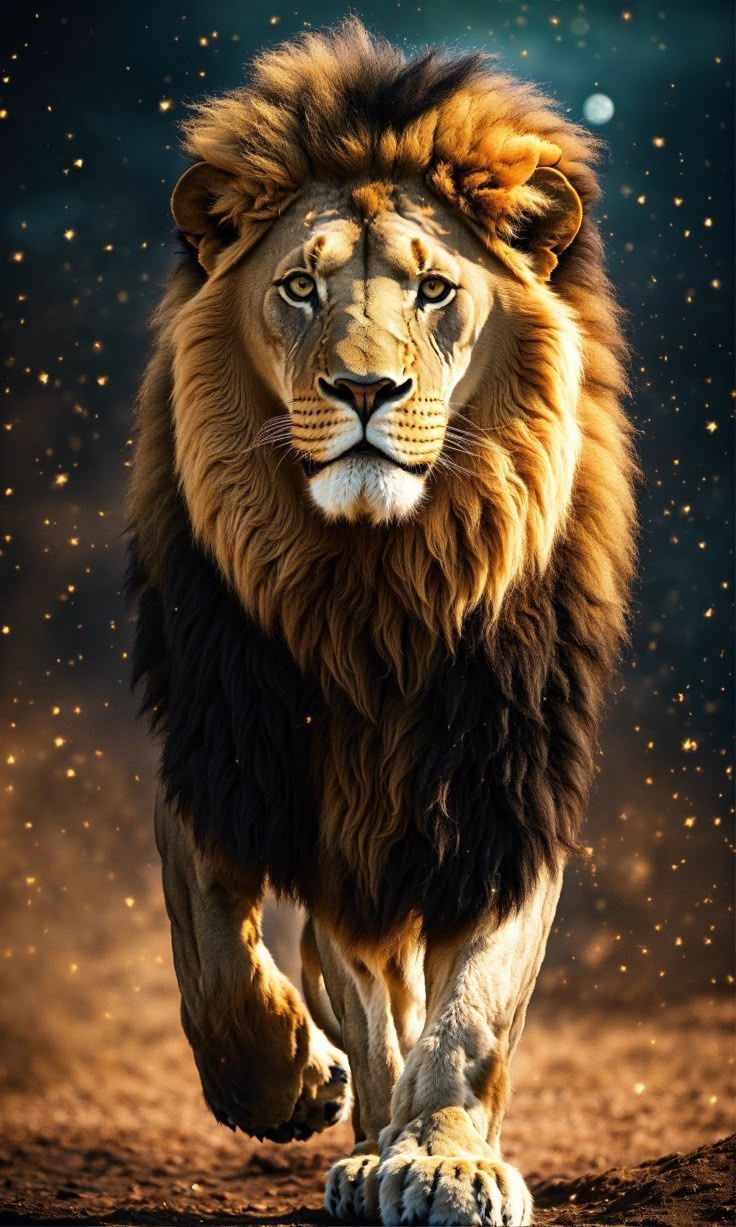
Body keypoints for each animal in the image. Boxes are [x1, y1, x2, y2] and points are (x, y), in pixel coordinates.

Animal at [127, 20, 636, 1226]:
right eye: (300, 287)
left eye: (437, 289)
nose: (365, 389)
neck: (377, 584)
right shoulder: (228, 753)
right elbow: (214, 948)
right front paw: (294, 1083)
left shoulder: (505, 787)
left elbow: (474, 1011)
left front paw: (441, 1156)